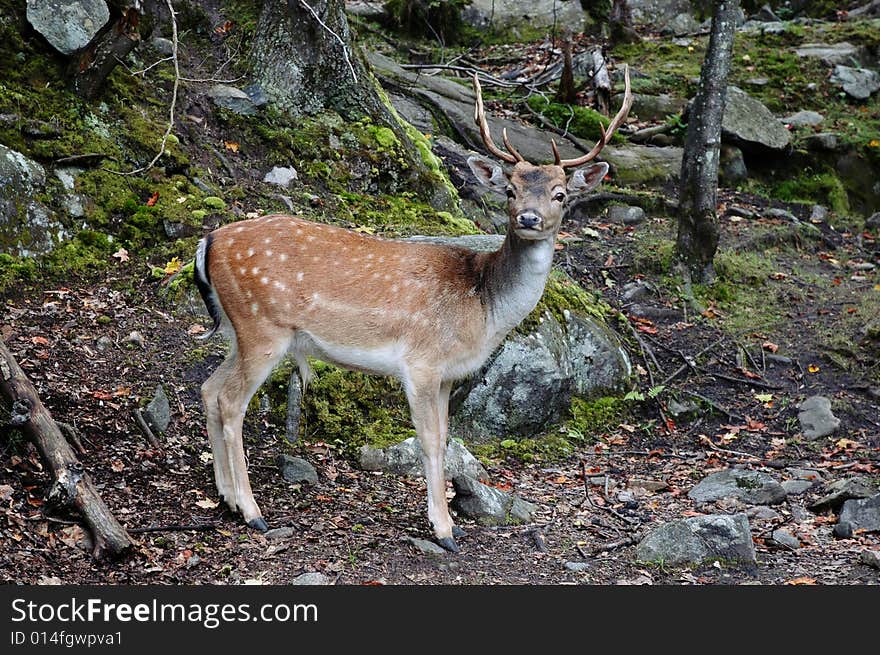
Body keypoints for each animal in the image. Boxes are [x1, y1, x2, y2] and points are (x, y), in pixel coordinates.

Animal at [195, 66, 628, 552]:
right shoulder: (421, 363)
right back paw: (252, 512)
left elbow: (446, 439)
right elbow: (429, 441)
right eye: (510, 190)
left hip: (240, 329)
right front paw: (444, 530)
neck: (482, 307)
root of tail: (207, 243)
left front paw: (450, 522)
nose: (529, 218)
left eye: (559, 194)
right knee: (230, 401)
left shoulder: (448, 374)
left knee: (209, 389)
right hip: (263, 326)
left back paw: (225, 496)